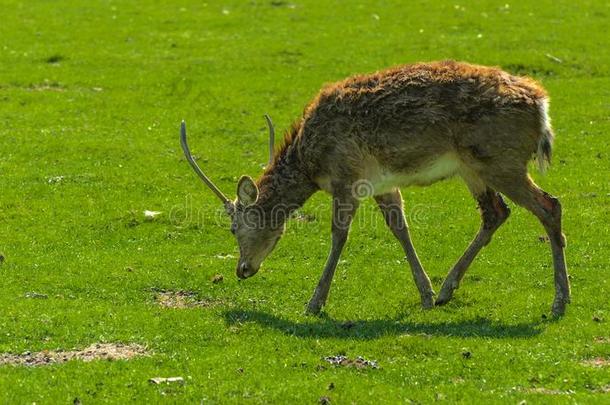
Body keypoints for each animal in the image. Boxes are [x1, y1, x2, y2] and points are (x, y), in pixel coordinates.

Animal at [178, 61, 568, 318]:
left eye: (233, 227)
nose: (242, 270)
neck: (311, 161)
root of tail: (543, 107)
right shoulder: (382, 183)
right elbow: (400, 228)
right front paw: (425, 294)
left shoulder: (346, 177)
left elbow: (339, 235)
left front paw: (314, 302)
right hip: (472, 168)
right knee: (496, 213)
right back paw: (446, 290)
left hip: (499, 161)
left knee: (549, 205)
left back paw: (559, 301)